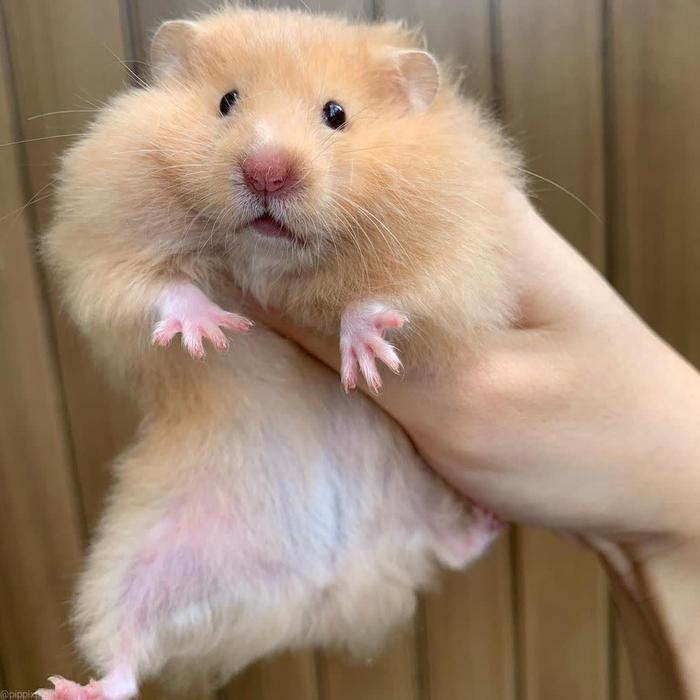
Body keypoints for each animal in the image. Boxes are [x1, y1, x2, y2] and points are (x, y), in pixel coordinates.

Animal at [36, 8, 507, 700]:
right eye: (226, 102)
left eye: (336, 114)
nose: (266, 171)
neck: (271, 257)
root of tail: (324, 590)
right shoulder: (102, 246)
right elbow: (160, 289)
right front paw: (211, 331)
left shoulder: (461, 259)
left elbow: (392, 297)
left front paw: (365, 356)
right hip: (141, 558)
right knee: (124, 649)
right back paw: (70, 689)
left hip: (418, 486)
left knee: (443, 546)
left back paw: (485, 523)